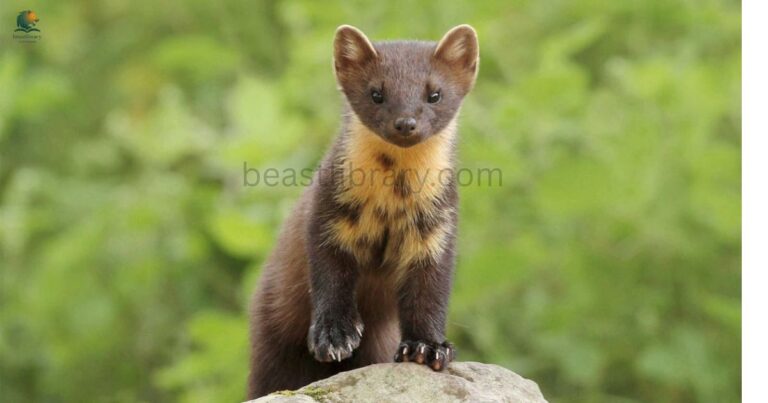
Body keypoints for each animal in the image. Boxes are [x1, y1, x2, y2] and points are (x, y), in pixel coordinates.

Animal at [247, 24, 479, 398]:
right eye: (376, 93)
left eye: (435, 94)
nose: (405, 122)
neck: (393, 197)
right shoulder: (326, 212)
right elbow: (329, 277)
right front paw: (333, 335)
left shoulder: (438, 228)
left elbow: (429, 292)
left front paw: (427, 348)